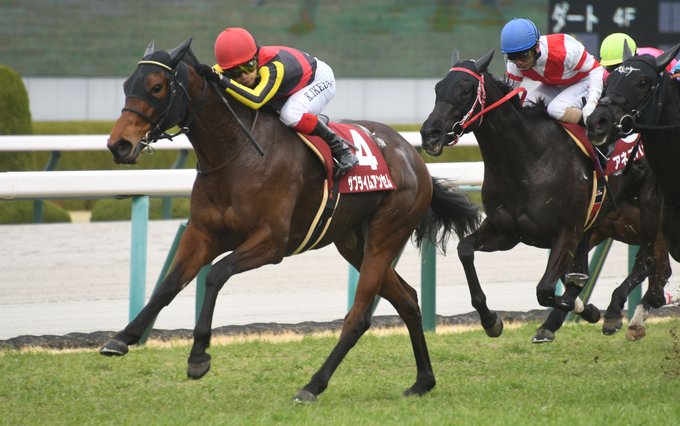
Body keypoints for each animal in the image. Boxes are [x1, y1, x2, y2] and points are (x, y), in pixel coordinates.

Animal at [101, 38, 481, 402]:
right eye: (126, 84)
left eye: (156, 87)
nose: (119, 145)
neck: (236, 154)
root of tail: (414, 159)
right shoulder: (202, 234)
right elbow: (168, 285)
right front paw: (122, 338)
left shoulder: (272, 243)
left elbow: (216, 275)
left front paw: (198, 356)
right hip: (355, 244)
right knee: (408, 301)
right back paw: (423, 381)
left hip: (386, 235)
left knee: (359, 317)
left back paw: (313, 386)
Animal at [420, 50, 670, 342]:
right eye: (438, 88)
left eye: (466, 89)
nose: (430, 134)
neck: (528, 161)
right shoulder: (506, 233)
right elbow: (464, 250)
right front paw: (491, 320)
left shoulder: (567, 232)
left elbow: (546, 290)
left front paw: (588, 309)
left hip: (649, 208)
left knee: (647, 261)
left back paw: (616, 313)